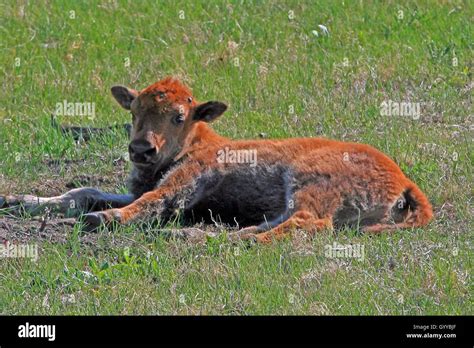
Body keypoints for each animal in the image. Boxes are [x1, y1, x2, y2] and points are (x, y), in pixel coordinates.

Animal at [0, 77, 434, 243]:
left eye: (179, 115)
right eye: (134, 110)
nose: (141, 149)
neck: (195, 140)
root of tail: (403, 179)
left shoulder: (186, 182)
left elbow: (152, 201)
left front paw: (102, 219)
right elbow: (83, 191)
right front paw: (17, 201)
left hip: (307, 180)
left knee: (307, 222)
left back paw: (237, 240)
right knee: (287, 220)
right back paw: (228, 234)